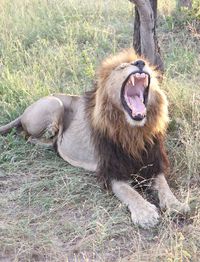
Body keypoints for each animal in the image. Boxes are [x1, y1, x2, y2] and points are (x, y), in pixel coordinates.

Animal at [0, 50, 189, 228]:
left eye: (143, 63)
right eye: (121, 67)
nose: (140, 63)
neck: (133, 132)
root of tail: (26, 110)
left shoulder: (153, 162)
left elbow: (164, 185)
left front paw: (176, 205)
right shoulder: (112, 171)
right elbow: (130, 193)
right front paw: (145, 214)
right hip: (55, 104)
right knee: (28, 135)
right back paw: (54, 144)